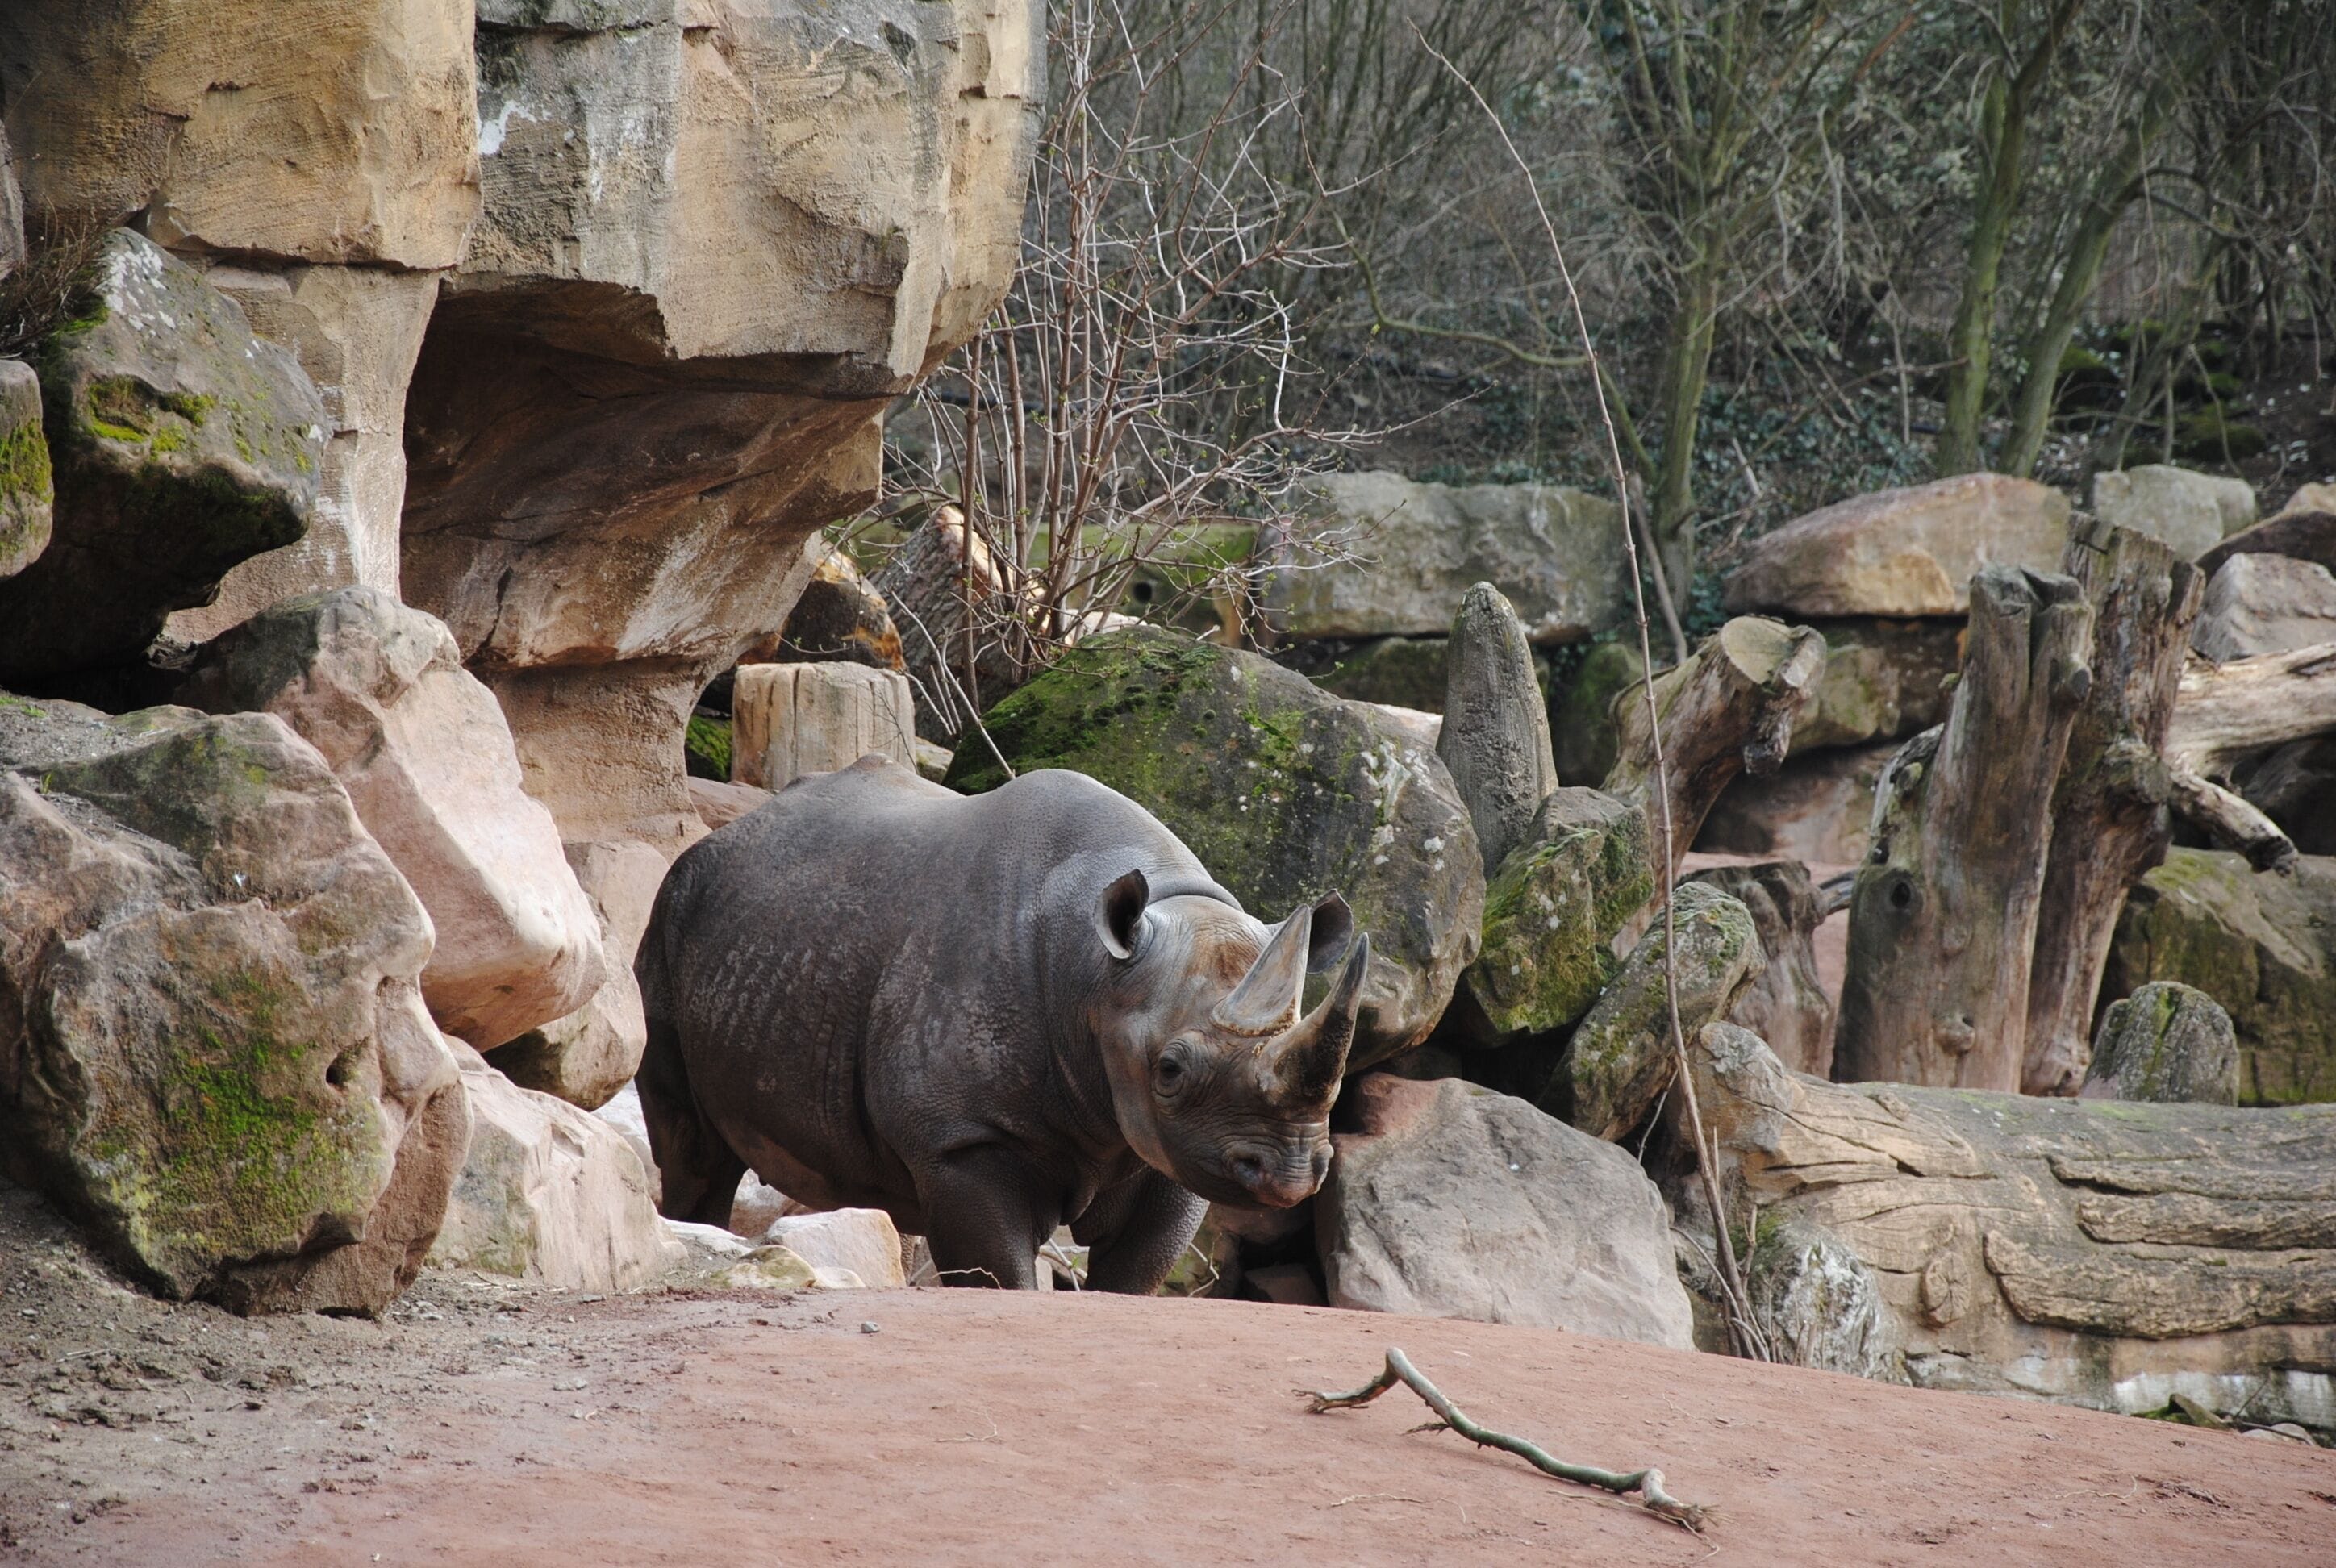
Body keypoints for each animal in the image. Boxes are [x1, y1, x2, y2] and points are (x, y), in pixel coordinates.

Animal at [634, 756, 1370, 1292]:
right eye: (1169, 1069)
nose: (1292, 1172)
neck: (1095, 973)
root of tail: (726, 832)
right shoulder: (965, 1138)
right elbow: (1003, 1275)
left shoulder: (1170, 1152)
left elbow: (1133, 1277)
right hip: (669, 916)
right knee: (694, 1150)